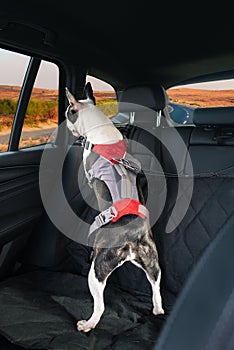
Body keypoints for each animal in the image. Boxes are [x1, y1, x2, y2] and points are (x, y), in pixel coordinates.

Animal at [65, 82, 164, 334]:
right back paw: (158, 309)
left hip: (97, 270)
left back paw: (88, 324)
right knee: (156, 288)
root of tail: (131, 237)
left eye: (68, 113)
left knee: (99, 305)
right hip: (151, 260)